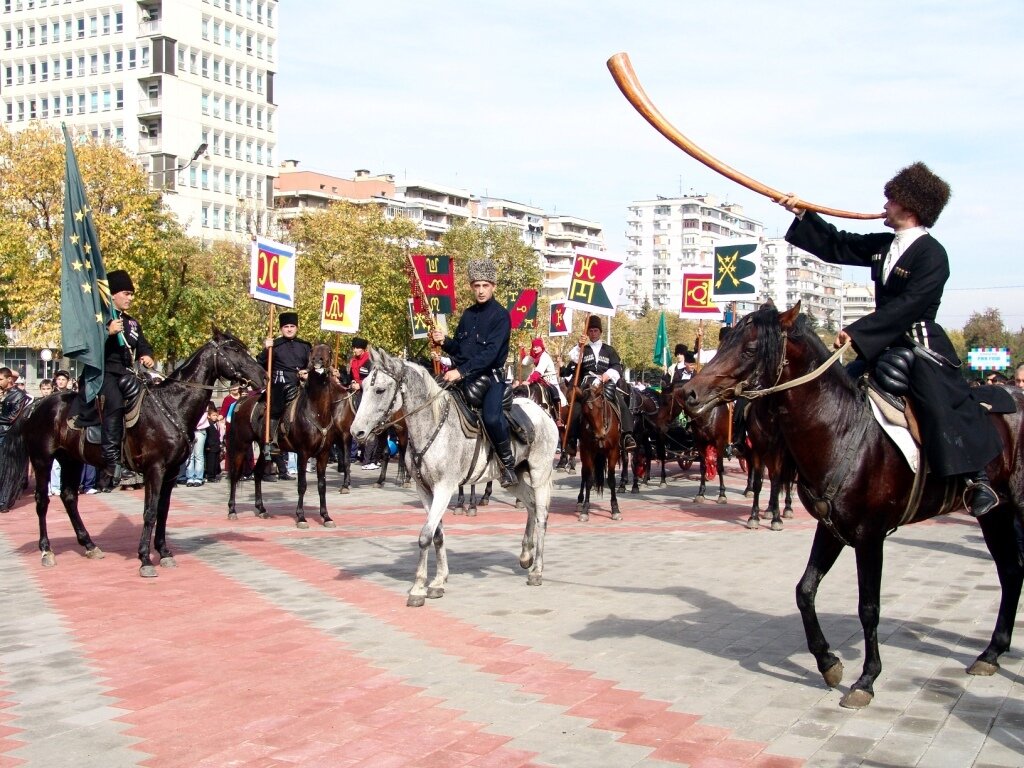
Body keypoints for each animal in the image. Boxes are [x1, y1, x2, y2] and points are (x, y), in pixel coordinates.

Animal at [0, 331, 268, 577]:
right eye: (235, 349)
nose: (263, 376)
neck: (172, 406)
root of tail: (36, 404)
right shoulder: (155, 469)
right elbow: (149, 512)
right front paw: (145, 559)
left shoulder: (170, 472)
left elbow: (163, 511)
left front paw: (164, 552)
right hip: (42, 460)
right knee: (42, 501)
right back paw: (47, 550)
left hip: (71, 460)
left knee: (69, 498)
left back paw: (89, 544)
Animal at [225, 344, 344, 528]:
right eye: (313, 350)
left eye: (329, 351)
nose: (317, 361)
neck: (317, 412)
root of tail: (241, 401)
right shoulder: (303, 453)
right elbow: (302, 485)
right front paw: (301, 517)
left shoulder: (323, 454)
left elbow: (322, 485)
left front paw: (326, 516)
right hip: (241, 444)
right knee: (235, 475)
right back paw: (232, 510)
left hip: (264, 448)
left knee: (257, 473)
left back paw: (261, 508)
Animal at [352, 348, 561, 606]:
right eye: (363, 386)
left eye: (380, 390)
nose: (356, 432)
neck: (432, 425)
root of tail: (544, 413)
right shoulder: (425, 490)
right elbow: (437, 535)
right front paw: (438, 581)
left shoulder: (444, 488)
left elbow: (425, 535)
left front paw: (418, 588)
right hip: (513, 478)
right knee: (530, 506)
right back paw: (525, 555)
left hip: (539, 473)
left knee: (541, 515)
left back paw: (537, 570)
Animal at [577, 378, 622, 524]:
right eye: (585, 413)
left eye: (601, 407)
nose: (600, 435)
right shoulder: (587, 451)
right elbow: (589, 480)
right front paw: (585, 510)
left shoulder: (614, 451)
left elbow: (612, 480)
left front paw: (615, 509)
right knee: (584, 474)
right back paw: (579, 501)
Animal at [684, 303, 1024, 712]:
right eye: (724, 341)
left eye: (749, 349)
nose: (689, 393)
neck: (841, 427)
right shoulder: (831, 528)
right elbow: (805, 590)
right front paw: (828, 662)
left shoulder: (869, 536)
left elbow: (868, 607)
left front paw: (867, 679)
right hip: (997, 515)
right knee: (1011, 572)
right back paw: (991, 653)